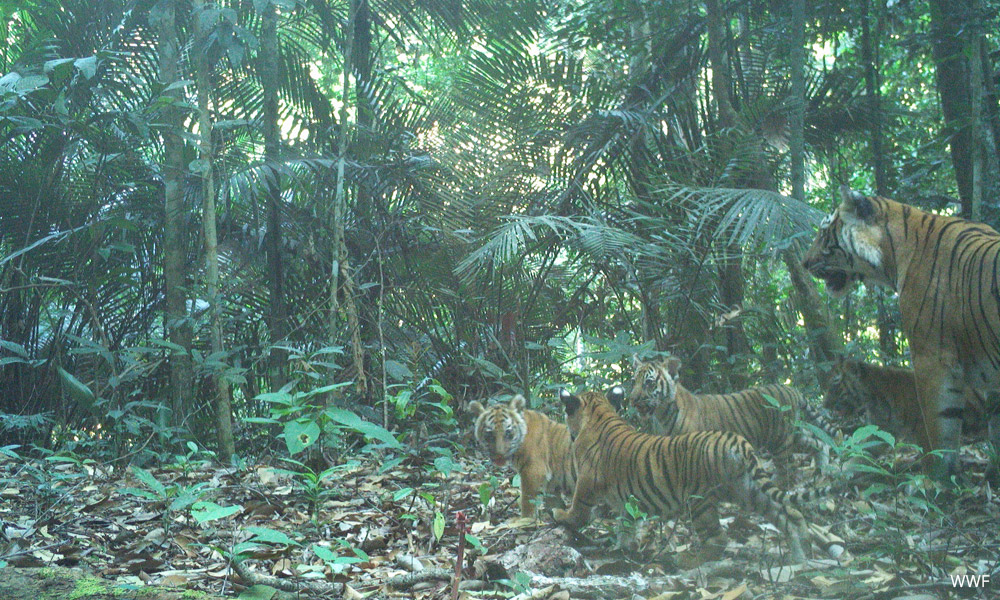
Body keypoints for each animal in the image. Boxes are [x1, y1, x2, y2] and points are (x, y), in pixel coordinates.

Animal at [554, 386, 826, 566]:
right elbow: (626, 523)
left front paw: (560, 515)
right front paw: (625, 548)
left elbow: (578, 510)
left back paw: (685, 560)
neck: (600, 414)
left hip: (699, 500)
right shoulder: (627, 500)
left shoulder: (586, 483)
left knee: (718, 538)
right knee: (789, 514)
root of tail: (737, 442)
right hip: (748, 491)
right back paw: (801, 556)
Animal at [628, 355, 835, 482]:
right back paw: (822, 469)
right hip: (793, 433)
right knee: (817, 441)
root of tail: (791, 388)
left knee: (785, 467)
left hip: (780, 439)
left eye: (649, 383)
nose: (632, 399)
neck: (662, 414)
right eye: (634, 381)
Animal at [803, 185, 1000, 478]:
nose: (804, 263)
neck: (893, 254)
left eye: (824, 233)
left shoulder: (931, 359)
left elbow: (939, 430)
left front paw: (936, 478)